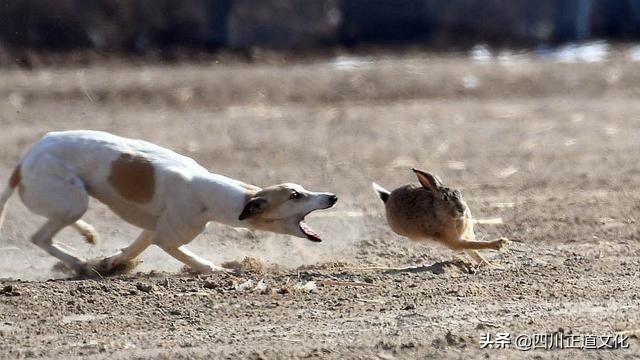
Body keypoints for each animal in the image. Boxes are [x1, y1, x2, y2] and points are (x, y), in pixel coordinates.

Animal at [0, 131, 340, 274]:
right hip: (73, 200)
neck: (208, 190)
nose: (333, 197)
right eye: (295, 195)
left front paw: (111, 262)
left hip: (70, 201)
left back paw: (87, 236)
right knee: (39, 237)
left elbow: (131, 248)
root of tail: (23, 162)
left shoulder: (152, 229)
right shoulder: (167, 237)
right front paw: (220, 270)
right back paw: (78, 263)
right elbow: (196, 261)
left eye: (301, 189)